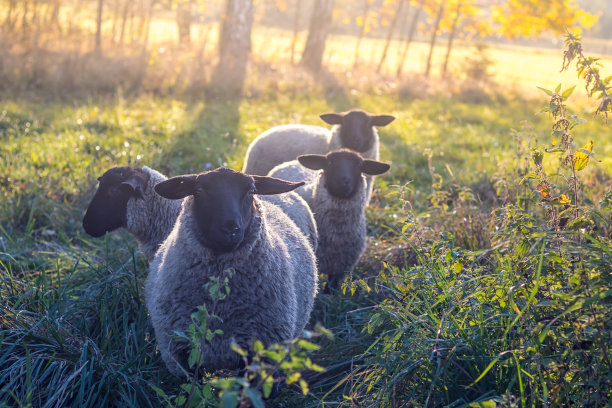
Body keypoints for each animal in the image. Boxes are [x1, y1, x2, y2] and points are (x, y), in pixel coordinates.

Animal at [268, 148, 392, 292]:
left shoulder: (341, 269)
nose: (343, 181)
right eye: (330, 162)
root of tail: (292, 162)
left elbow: (331, 288)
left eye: (359, 165)